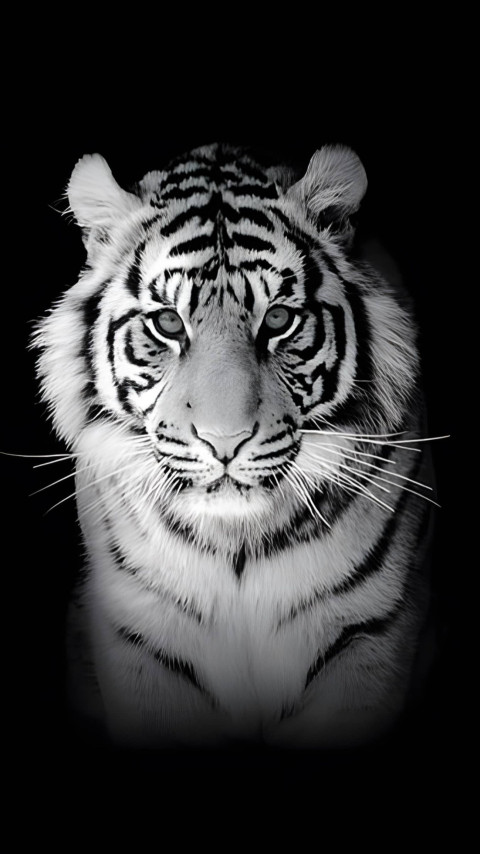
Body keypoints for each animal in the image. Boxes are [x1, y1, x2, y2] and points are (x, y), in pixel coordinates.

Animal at [34, 142, 435, 749]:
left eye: (278, 319)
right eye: (169, 323)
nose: (225, 442)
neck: (237, 546)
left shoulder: (369, 629)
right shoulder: (142, 634)